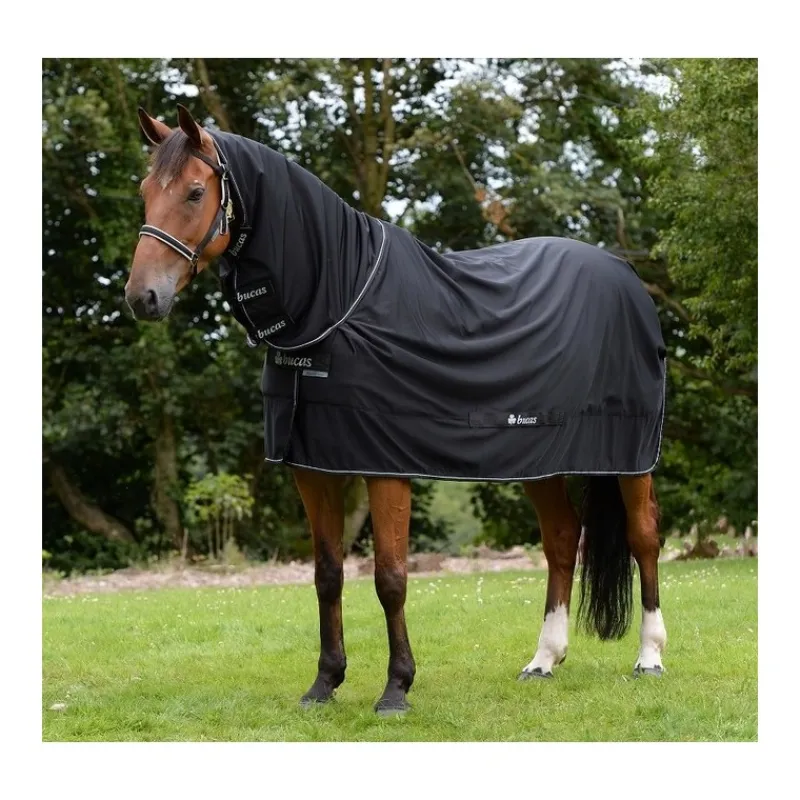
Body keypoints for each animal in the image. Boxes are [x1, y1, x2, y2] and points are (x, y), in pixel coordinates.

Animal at [126, 104, 668, 715]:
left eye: (196, 192)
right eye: (145, 191)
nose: (142, 297)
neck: (338, 300)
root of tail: (625, 277)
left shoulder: (385, 464)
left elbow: (390, 578)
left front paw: (396, 688)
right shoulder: (314, 467)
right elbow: (328, 574)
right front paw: (324, 683)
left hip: (630, 455)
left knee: (644, 536)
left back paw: (649, 657)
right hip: (537, 456)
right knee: (559, 538)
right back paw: (543, 660)